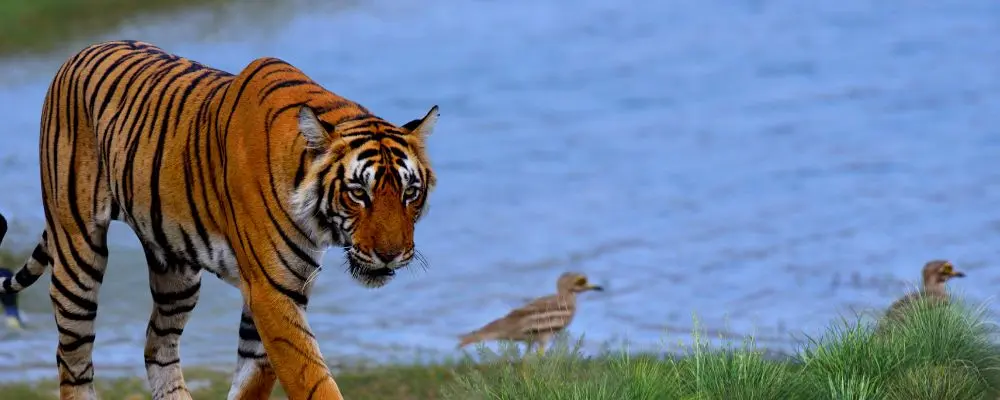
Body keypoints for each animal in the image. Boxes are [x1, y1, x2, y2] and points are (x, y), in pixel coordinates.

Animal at [0, 40, 439, 400]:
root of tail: (77, 54)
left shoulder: (277, 291)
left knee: (156, 346)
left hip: (176, 274)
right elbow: (313, 380)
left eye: (410, 193)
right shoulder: (272, 291)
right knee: (72, 361)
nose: (391, 255)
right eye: (358, 193)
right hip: (77, 254)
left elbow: (252, 379)